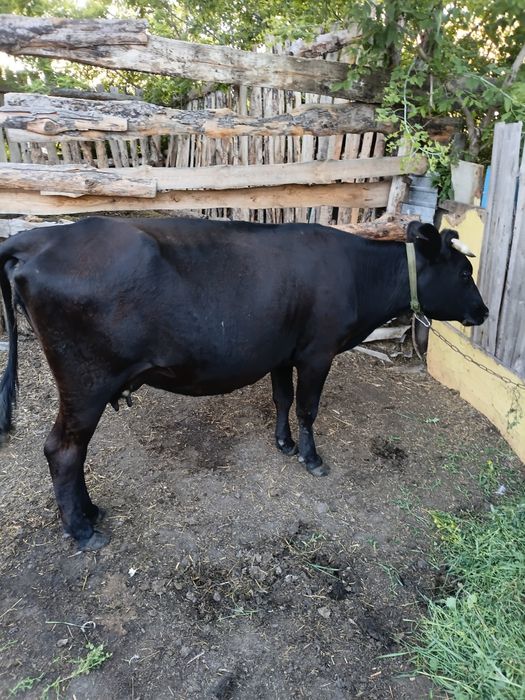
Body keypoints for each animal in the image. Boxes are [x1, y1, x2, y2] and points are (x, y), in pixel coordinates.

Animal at [0, 217, 488, 551]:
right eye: (464, 274)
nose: (483, 312)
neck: (357, 273)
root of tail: (42, 237)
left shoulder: (282, 352)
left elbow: (282, 398)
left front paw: (284, 443)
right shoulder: (317, 353)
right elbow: (308, 407)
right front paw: (311, 458)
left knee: (72, 451)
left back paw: (90, 512)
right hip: (85, 383)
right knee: (63, 450)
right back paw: (83, 529)